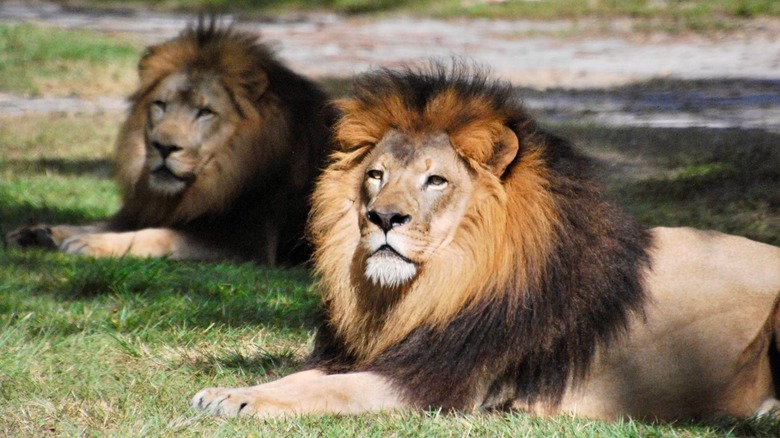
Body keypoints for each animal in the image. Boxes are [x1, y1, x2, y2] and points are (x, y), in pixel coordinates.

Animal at [6, 20, 336, 266]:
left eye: (205, 112)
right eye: (161, 105)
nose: (162, 147)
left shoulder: (243, 243)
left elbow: (157, 235)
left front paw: (88, 242)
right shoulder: (148, 209)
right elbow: (106, 223)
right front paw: (39, 232)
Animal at [190, 62, 780, 420]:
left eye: (435, 180)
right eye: (376, 175)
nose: (383, 218)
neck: (442, 283)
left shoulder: (444, 383)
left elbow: (327, 387)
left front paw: (240, 400)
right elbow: (300, 374)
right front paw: (225, 391)